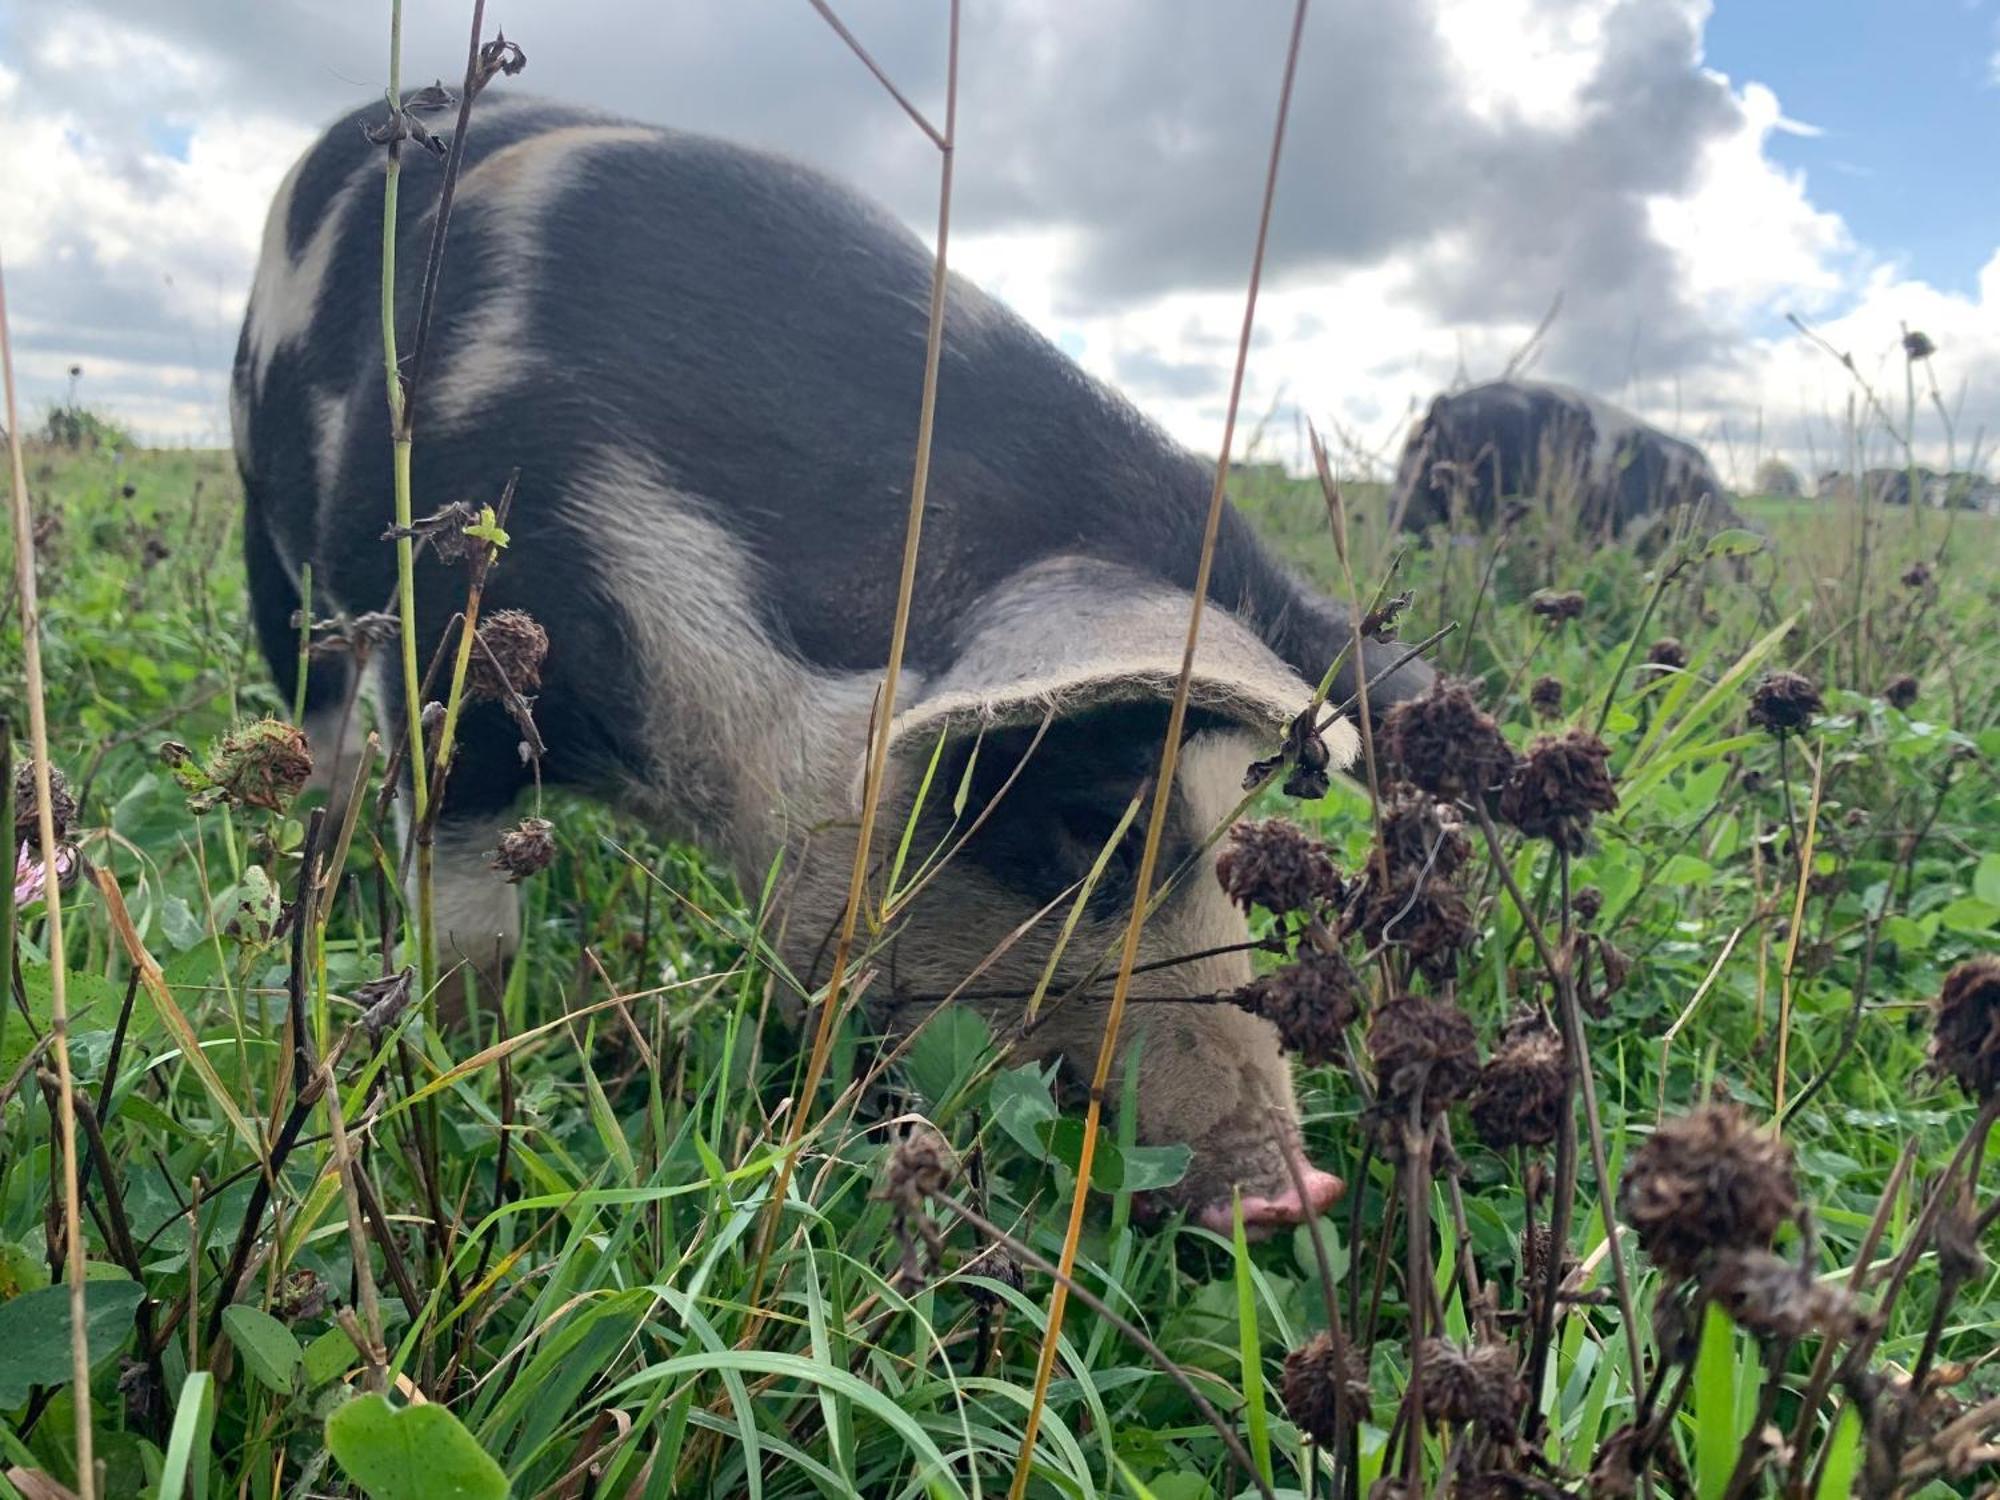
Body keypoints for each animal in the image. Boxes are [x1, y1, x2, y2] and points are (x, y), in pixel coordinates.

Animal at [234, 100, 1440, 1240]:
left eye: (1255, 848)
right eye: (1097, 818)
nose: (1291, 1192)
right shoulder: (450, 649)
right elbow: (467, 916)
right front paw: (471, 1052)